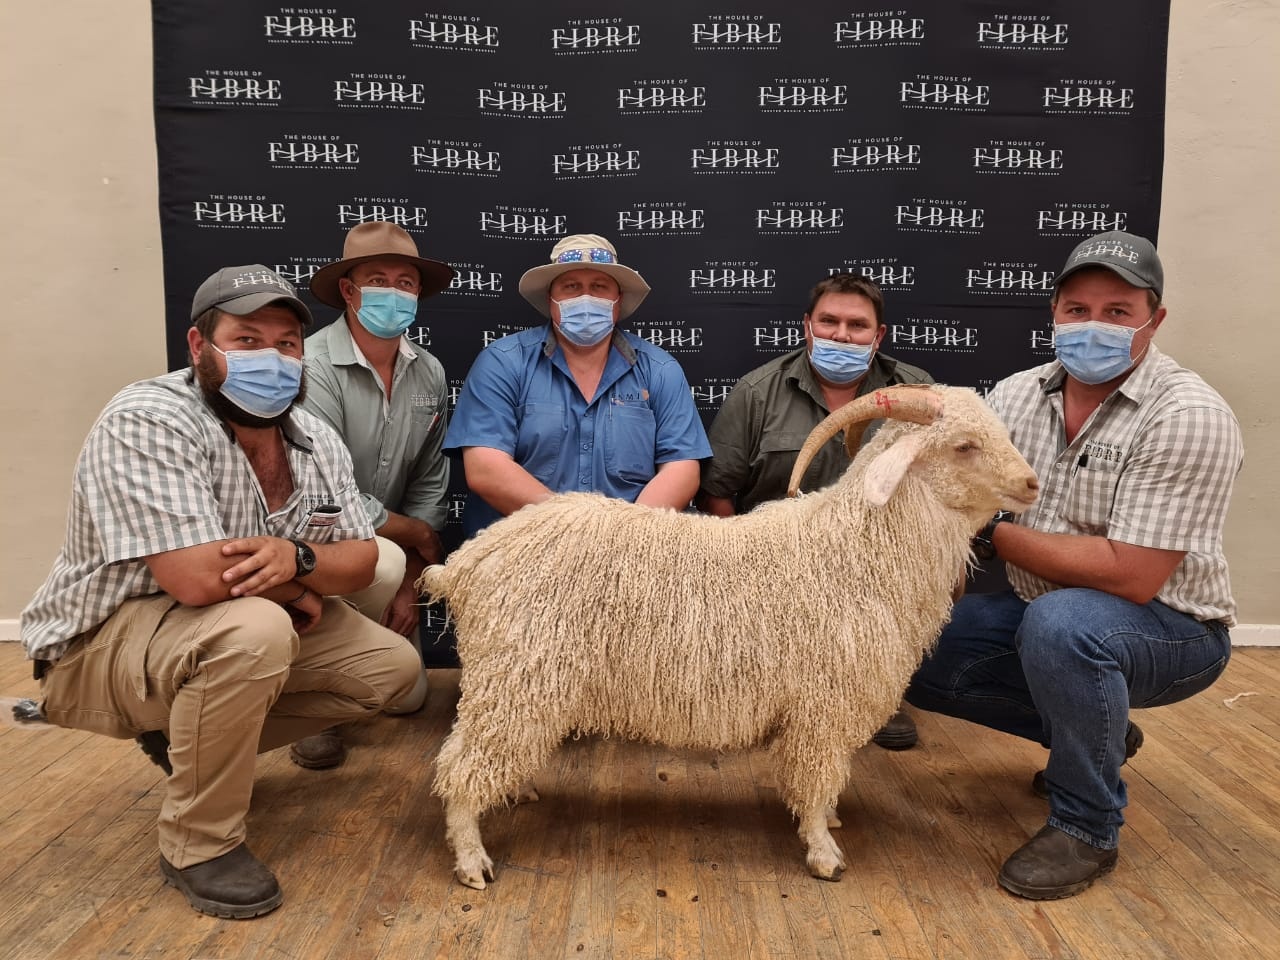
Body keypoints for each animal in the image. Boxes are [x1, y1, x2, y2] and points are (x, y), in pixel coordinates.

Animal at [419, 381, 1039, 885]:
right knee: (459, 769)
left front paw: (828, 820)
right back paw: (472, 861)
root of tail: (468, 562)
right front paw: (824, 852)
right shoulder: (820, 707)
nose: (1032, 484)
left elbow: (822, 780)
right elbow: (817, 779)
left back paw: (515, 790)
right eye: (963, 445)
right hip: (513, 677)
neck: (851, 551)